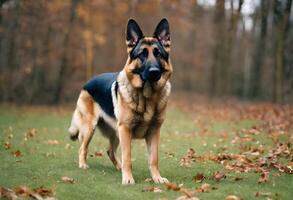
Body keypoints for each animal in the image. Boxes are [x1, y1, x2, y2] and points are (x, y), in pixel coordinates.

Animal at [68, 18, 172, 184]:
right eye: (142, 55)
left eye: (158, 54)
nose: (154, 72)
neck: (147, 97)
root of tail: (88, 83)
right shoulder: (126, 129)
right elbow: (127, 157)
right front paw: (128, 179)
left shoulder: (154, 132)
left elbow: (153, 159)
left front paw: (157, 178)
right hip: (91, 128)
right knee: (82, 147)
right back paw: (83, 164)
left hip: (116, 133)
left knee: (110, 151)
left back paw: (118, 167)